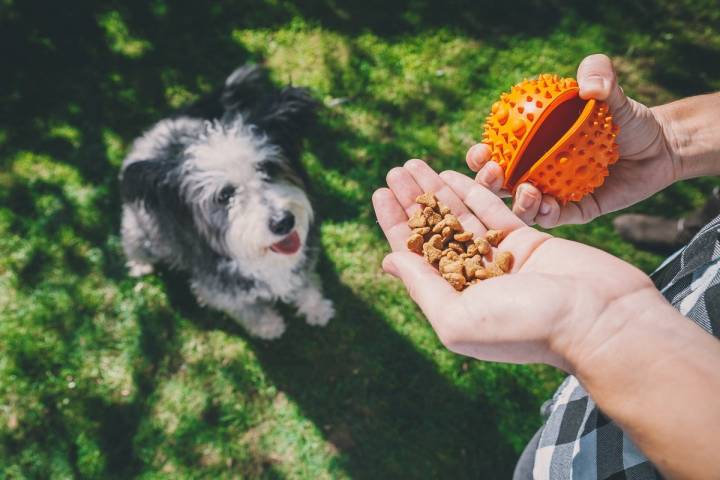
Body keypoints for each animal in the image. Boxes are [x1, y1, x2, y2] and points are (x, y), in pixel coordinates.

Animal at [119, 65, 334, 340]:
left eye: (267, 168)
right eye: (224, 196)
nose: (284, 222)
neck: (260, 255)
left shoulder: (303, 260)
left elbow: (306, 284)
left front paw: (317, 309)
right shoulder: (221, 291)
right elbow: (248, 309)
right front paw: (268, 326)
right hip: (140, 231)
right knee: (134, 244)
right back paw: (139, 264)